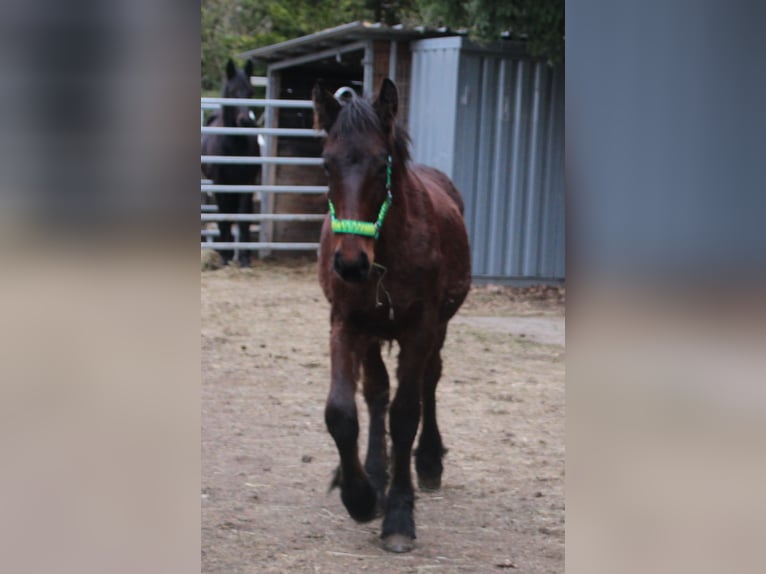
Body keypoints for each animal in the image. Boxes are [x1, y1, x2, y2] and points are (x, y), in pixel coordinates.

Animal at [202, 56, 262, 268]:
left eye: (250, 92)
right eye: (232, 91)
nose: (245, 121)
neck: (233, 146)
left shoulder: (246, 183)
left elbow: (243, 217)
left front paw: (244, 258)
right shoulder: (220, 184)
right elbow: (224, 216)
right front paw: (226, 257)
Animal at [314, 77, 474, 552]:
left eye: (382, 162)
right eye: (326, 164)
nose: (350, 264)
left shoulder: (420, 329)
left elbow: (406, 414)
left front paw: (400, 516)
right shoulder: (345, 325)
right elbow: (343, 411)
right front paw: (361, 494)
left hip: (438, 328)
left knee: (428, 383)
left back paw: (428, 463)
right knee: (376, 394)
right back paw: (375, 472)